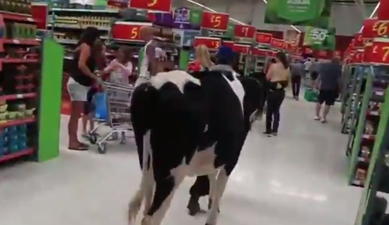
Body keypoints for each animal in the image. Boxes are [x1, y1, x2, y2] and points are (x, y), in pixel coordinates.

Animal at [127, 70, 264, 225]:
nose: (259, 115)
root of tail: (154, 87)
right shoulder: (231, 159)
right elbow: (220, 188)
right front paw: (212, 217)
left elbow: (212, 177)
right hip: (173, 170)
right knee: (151, 218)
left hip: (146, 159)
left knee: (136, 204)